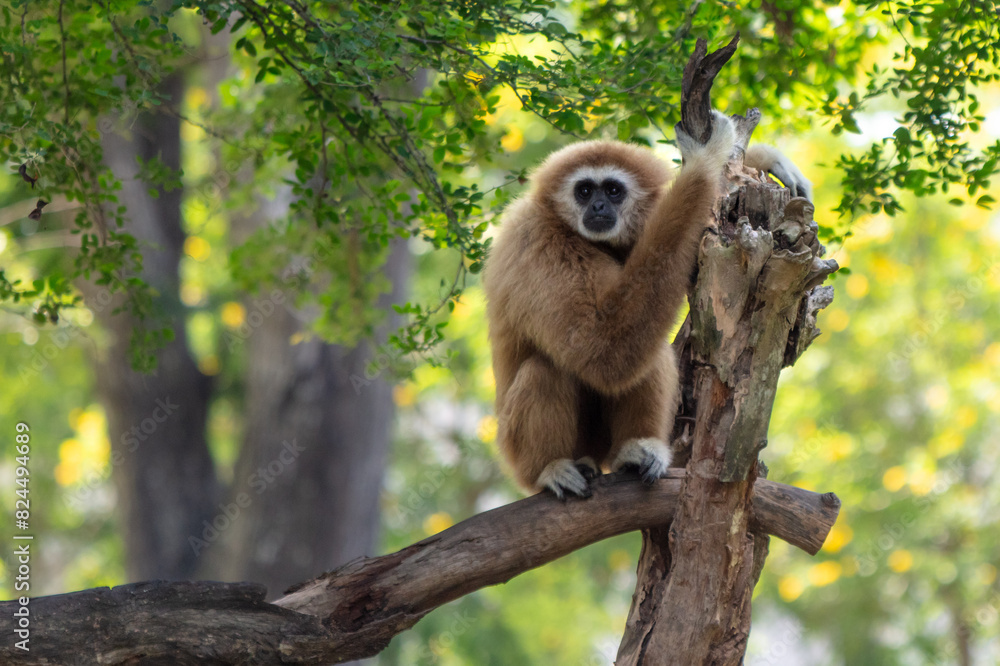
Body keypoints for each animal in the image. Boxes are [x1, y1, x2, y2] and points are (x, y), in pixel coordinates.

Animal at [483, 112, 812, 499]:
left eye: (612, 190)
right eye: (584, 191)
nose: (597, 207)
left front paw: (763, 159)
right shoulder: (537, 244)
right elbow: (605, 348)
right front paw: (706, 160)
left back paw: (634, 451)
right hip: (514, 448)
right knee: (549, 368)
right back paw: (551, 469)